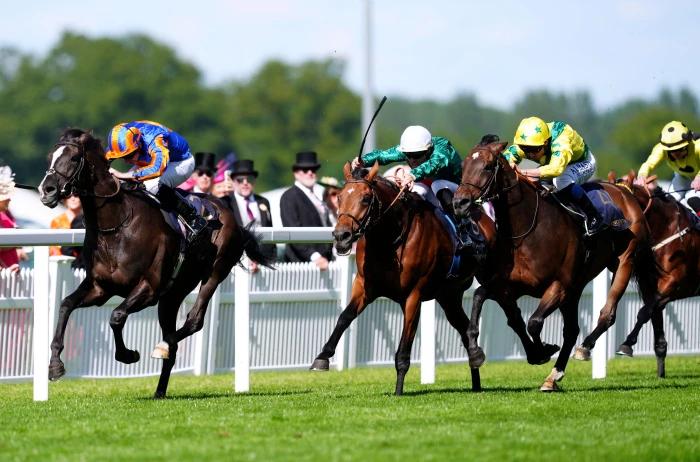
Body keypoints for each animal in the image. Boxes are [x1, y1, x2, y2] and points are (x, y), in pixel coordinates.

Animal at [37, 129, 274, 398]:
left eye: (75, 157)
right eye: (50, 156)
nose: (47, 190)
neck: (116, 225)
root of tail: (228, 212)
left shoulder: (148, 288)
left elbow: (116, 316)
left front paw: (128, 354)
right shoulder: (100, 288)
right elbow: (66, 305)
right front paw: (55, 365)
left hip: (215, 272)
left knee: (194, 320)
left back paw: (161, 346)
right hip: (172, 294)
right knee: (174, 341)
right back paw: (159, 390)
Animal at [308, 162, 494, 394]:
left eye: (366, 198)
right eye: (340, 197)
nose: (342, 236)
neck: (388, 240)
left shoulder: (414, 295)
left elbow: (404, 348)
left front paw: (398, 391)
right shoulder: (364, 286)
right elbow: (344, 317)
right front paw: (322, 357)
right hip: (448, 296)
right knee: (464, 327)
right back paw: (476, 371)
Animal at [454, 141, 656, 390]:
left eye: (488, 166)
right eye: (463, 166)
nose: (459, 203)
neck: (528, 230)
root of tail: (626, 193)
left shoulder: (558, 285)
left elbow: (533, 322)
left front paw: (543, 350)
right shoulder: (510, 285)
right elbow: (481, 297)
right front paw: (475, 351)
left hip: (624, 261)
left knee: (607, 314)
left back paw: (585, 347)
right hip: (576, 287)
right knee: (571, 330)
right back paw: (554, 376)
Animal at [612, 171, 700, 378]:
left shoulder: (675, 284)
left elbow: (644, 312)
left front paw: (626, 344)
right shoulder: (649, 286)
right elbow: (654, 318)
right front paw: (661, 374)